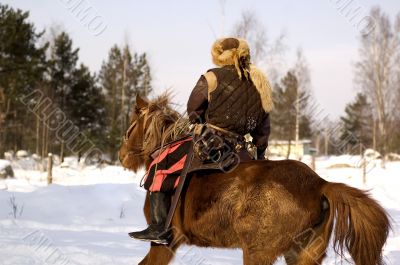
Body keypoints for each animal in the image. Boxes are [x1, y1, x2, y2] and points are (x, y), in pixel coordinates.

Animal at [119, 94, 390, 262]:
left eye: (130, 126)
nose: (122, 155)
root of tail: (319, 184)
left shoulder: (165, 244)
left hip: (257, 252)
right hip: (303, 254)